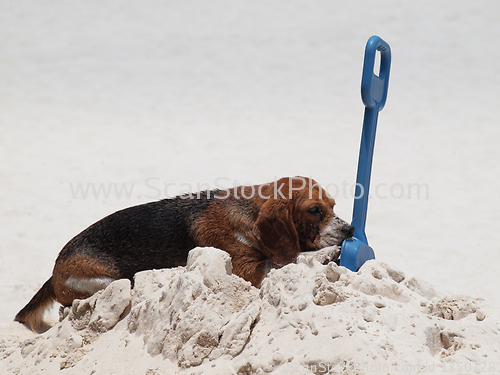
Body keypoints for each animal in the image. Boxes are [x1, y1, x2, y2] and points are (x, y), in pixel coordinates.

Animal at [13, 178, 354, 334]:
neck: (248, 213)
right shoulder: (246, 270)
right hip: (112, 282)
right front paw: (326, 254)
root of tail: (54, 272)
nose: (350, 229)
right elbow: (293, 258)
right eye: (314, 210)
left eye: (333, 206)